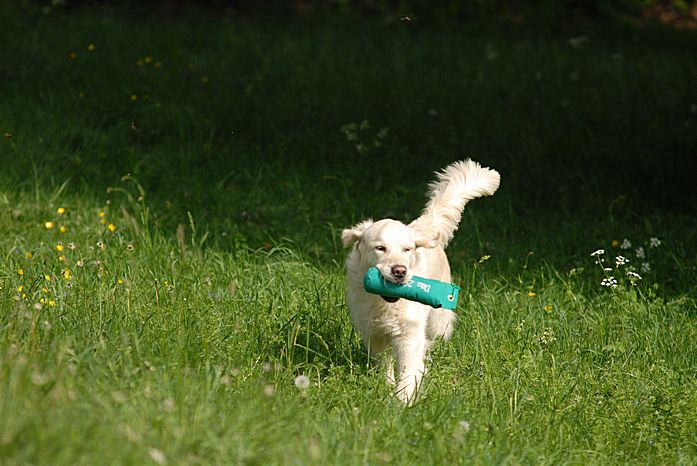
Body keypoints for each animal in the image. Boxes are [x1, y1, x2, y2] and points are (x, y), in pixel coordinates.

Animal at [341, 159, 500, 404]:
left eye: (407, 249)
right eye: (380, 248)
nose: (399, 271)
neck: (386, 304)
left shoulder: (410, 332)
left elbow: (409, 369)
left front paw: (403, 399)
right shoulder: (373, 332)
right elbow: (383, 365)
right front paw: (387, 387)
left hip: (439, 321)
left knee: (431, 340)